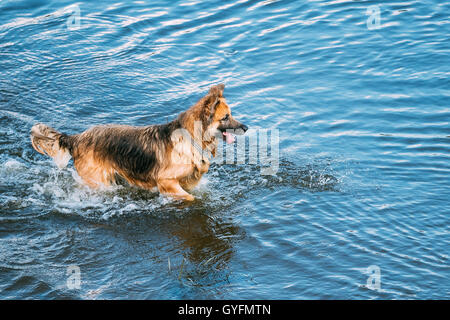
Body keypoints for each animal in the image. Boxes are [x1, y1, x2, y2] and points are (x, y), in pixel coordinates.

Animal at [29, 84, 248, 201]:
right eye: (226, 117)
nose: (246, 128)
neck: (191, 137)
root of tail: (76, 138)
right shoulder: (166, 182)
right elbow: (189, 198)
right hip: (99, 182)